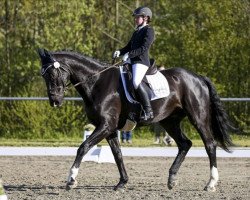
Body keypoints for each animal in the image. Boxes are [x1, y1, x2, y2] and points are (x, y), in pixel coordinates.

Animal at [37, 48, 234, 192]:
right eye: (44, 76)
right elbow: (117, 155)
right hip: (169, 121)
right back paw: (172, 179)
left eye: (53, 74)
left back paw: (210, 183)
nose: (55, 101)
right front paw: (122, 183)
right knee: (185, 144)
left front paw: (71, 180)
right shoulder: (110, 129)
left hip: (198, 117)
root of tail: (198, 77)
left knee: (210, 144)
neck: (97, 82)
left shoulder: (106, 125)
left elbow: (83, 147)